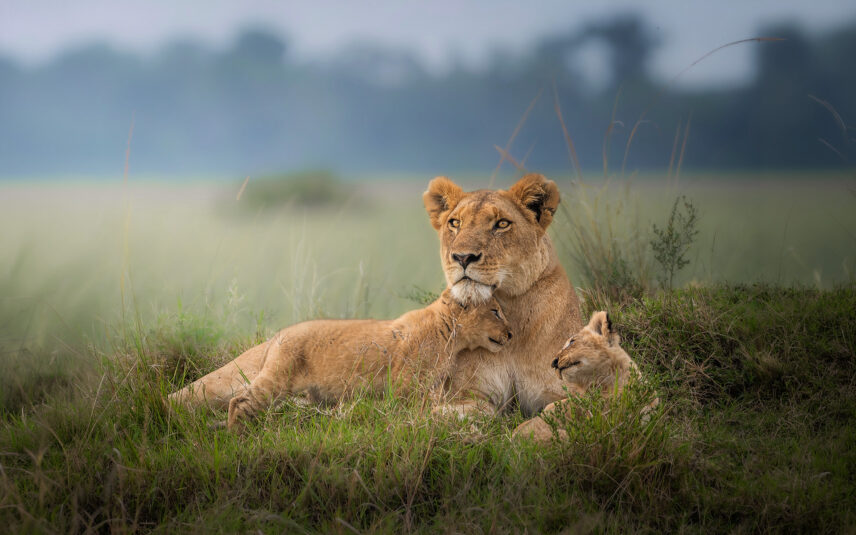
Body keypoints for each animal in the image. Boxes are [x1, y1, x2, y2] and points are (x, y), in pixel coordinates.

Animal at [170, 174, 582, 419]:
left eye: (502, 224)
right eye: (455, 223)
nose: (463, 257)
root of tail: (279, 335)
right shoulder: (414, 389)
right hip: (256, 377)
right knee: (224, 400)